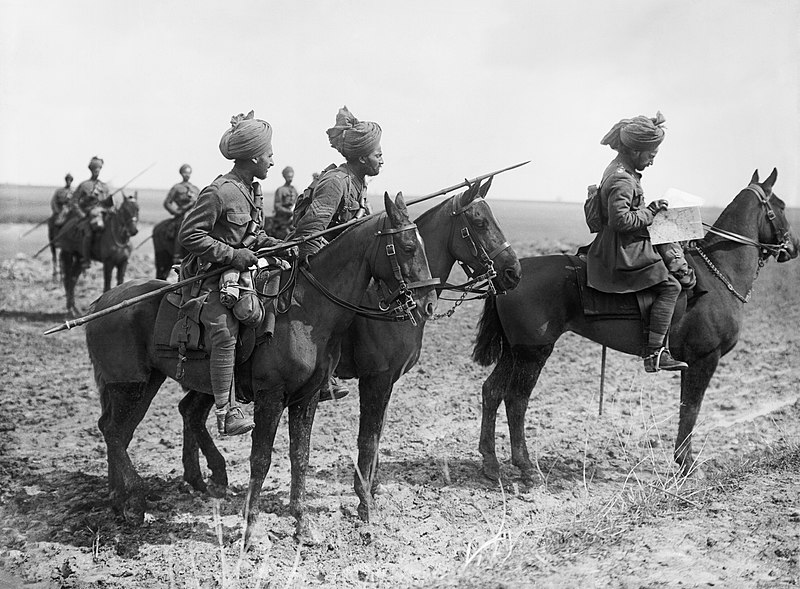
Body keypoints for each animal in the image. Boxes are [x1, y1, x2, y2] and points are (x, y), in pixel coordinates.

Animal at [83, 192, 438, 544]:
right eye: (408, 246)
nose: (428, 302)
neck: (305, 312)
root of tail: (102, 301)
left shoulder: (307, 397)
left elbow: (300, 455)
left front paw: (302, 522)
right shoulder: (274, 396)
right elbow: (262, 458)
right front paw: (251, 528)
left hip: (145, 384)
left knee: (128, 429)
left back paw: (124, 498)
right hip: (130, 386)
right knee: (114, 431)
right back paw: (135, 502)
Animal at [175, 177, 524, 520]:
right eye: (479, 222)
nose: (513, 273)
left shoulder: (385, 382)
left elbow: (376, 434)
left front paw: (371, 488)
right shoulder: (376, 379)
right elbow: (367, 438)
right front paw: (363, 500)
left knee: (189, 410)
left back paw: (200, 478)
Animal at [472, 168, 796, 480]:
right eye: (780, 206)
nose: (794, 246)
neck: (717, 274)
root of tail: (509, 277)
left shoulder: (692, 363)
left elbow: (685, 407)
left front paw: (683, 461)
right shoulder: (705, 359)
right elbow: (691, 409)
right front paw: (687, 465)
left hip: (515, 352)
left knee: (492, 392)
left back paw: (491, 465)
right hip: (533, 353)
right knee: (516, 400)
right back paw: (526, 468)